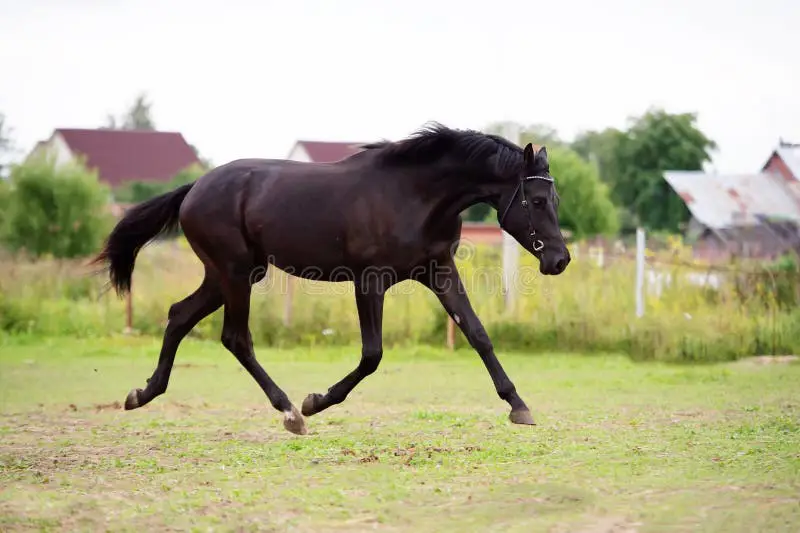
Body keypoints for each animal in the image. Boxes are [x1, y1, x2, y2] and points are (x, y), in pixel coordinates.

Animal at [92, 123, 568, 432]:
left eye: (555, 198)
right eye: (537, 200)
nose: (560, 259)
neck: (415, 195)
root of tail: (194, 188)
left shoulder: (438, 270)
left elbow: (477, 333)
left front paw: (519, 406)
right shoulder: (370, 280)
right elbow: (372, 354)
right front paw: (316, 402)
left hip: (230, 274)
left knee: (179, 315)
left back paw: (142, 394)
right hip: (235, 272)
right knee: (235, 337)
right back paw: (290, 411)